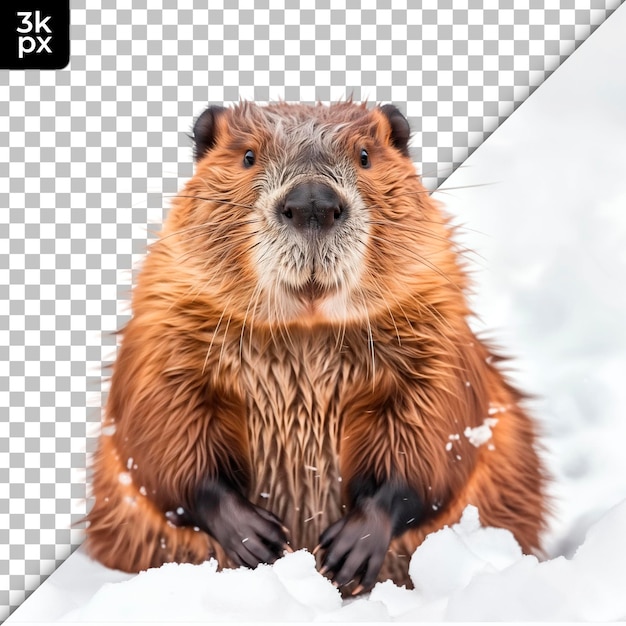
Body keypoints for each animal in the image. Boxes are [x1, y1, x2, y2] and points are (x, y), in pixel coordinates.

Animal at [84, 100, 544, 592]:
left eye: (365, 155)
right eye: (248, 156)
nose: (312, 203)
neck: (305, 335)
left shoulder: (438, 333)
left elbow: (440, 425)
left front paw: (350, 547)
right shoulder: (165, 324)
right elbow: (156, 426)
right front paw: (257, 538)